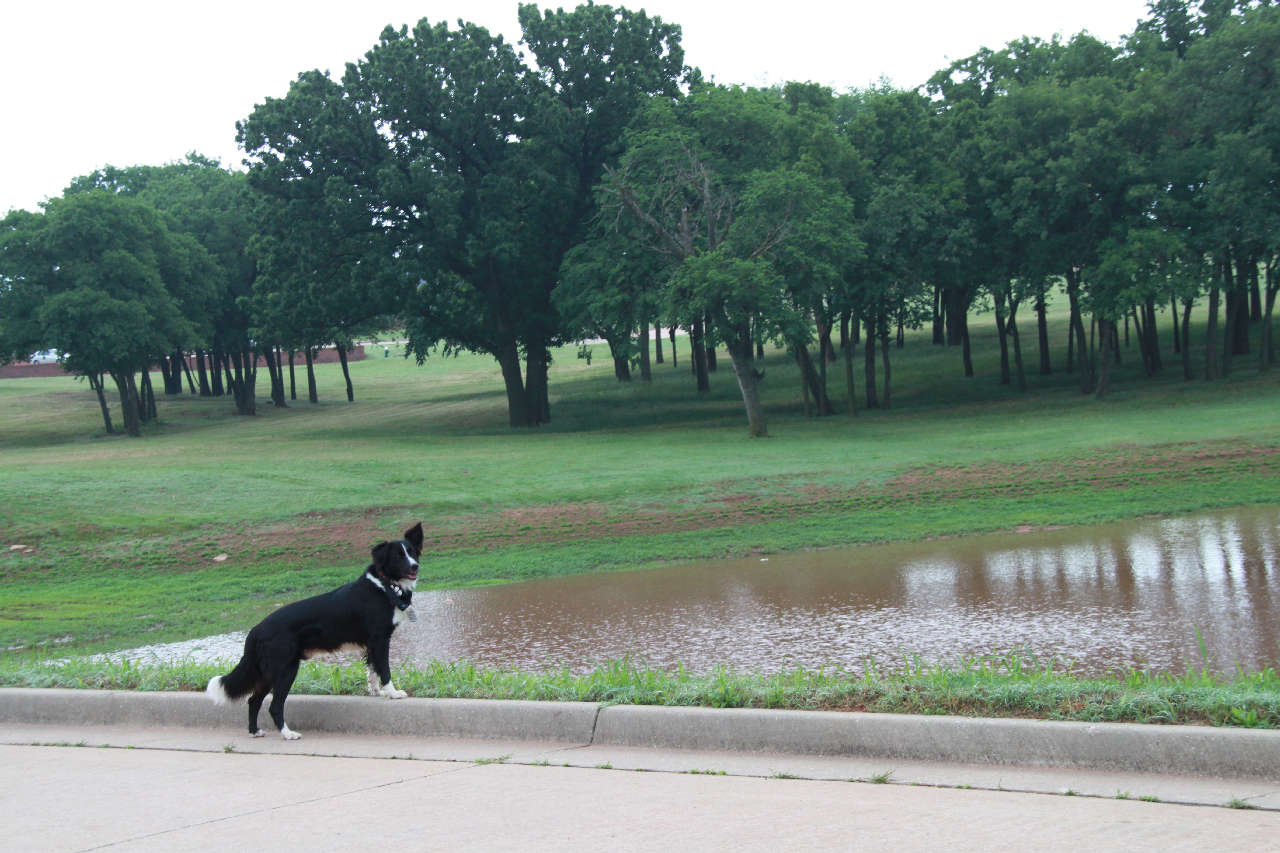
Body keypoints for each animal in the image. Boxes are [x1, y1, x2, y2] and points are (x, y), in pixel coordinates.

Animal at [206, 523, 424, 739]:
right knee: (274, 705)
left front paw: (376, 691)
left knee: (253, 700)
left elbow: (372, 670)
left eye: (412, 552)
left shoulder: (370, 643)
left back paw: (255, 731)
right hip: (285, 669)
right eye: (398, 556)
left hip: (268, 672)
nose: (415, 566)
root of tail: (256, 630)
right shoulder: (380, 639)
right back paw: (288, 734)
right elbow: (385, 670)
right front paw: (393, 693)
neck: (385, 585)